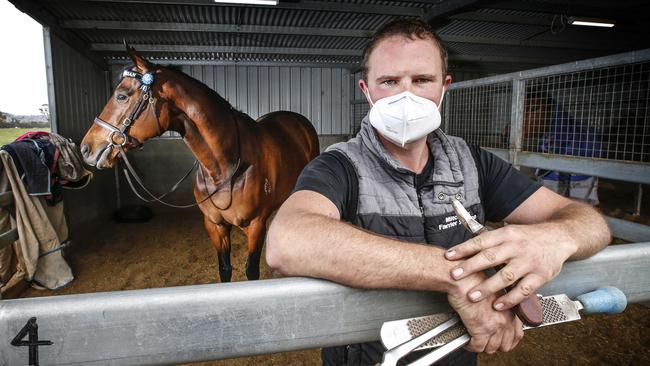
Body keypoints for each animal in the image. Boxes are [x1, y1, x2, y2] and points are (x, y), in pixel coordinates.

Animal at [79, 45, 318, 280]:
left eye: (121, 96)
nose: (86, 148)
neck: (225, 168)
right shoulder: (214, 225)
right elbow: (224, 269)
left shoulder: (255, 226)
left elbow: (251, 271)